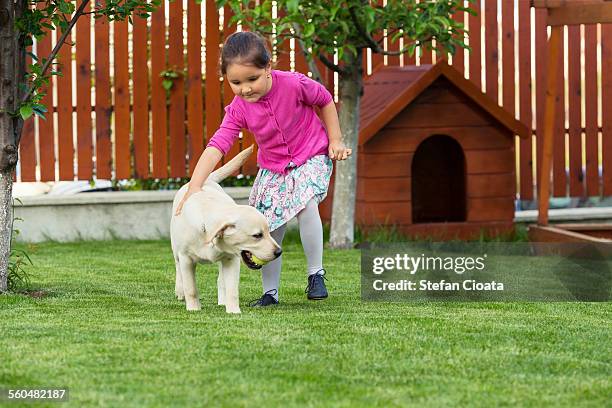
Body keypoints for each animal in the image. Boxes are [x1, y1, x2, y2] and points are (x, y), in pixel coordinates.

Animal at [169, 145, 280, 314]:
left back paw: (222, 301)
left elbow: (232, 289)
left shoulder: (232, 259)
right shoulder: (186, 258)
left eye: (268, 232)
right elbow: (191, 289)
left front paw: (234, 311)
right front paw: (193, 309)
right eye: (257, 235)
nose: (279, 252)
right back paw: (180, 292)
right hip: (176, 249)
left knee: (221, 280)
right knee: (178, 269)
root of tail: (205, 180)